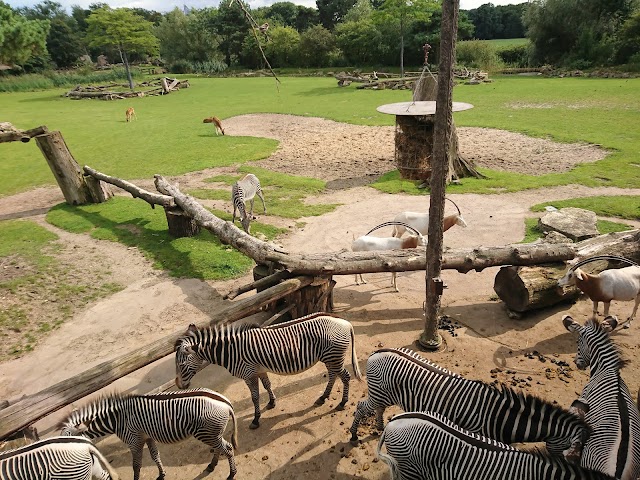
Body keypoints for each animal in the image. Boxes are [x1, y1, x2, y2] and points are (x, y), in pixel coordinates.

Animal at [60, 388, 239, 480]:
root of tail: (226, 402)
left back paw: (231, 474)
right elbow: (155, 456)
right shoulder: (147, 437)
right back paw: (212, 465)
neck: (118, 419)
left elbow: (136, 465)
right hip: (211, 434)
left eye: (70, 440)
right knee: (220, 448)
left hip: (207, 433)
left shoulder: (134, 441)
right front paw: (161, 475)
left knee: (228, 449)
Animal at [175, 314, 362, 430]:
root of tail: (345, 322)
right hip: (330, 358)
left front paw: (256, 419)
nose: (179, 385)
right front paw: (272, 402)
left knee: (345, 377)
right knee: (333, 375)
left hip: (334, 357)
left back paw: (342, 403)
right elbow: (267, 385)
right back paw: (323, 397)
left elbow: (255, 397)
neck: (231, 351)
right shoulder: (259, 370)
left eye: (181, 365)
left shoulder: (249, 374)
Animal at [350, 346, 592, 460]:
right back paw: (353, 435)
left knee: (379, 409)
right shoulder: (477, 435)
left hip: (384, 394)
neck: (503, 419)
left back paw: (380, 426)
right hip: (378, 393)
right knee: (362, 408)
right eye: (575, 452)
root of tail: (377, 351)